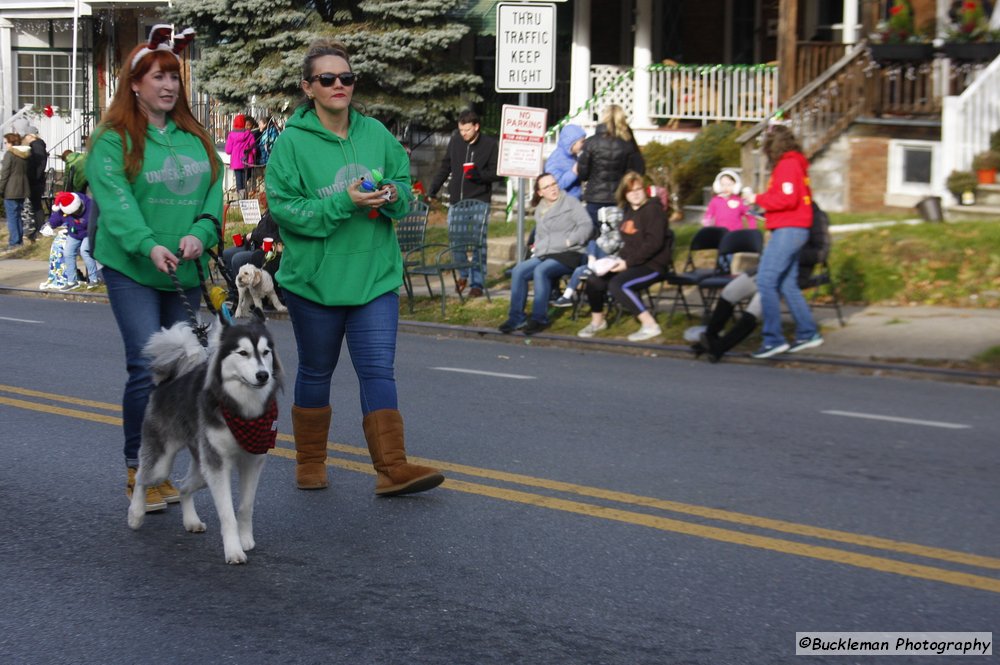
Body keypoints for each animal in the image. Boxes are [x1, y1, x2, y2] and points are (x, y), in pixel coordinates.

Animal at [127, 314, 282, 564]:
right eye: (243, 353)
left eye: (266, 352)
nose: (262, 375)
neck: (243, 408)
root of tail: (168, 382)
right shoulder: (218, 465)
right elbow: (227, 514)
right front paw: (233, 550)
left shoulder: (252, 461)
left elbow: (245, 506)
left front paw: (245, 539)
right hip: (163, 464)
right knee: (142, 477)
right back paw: (136, 514)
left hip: (202, 469)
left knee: (183, 487)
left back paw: (191, 521)